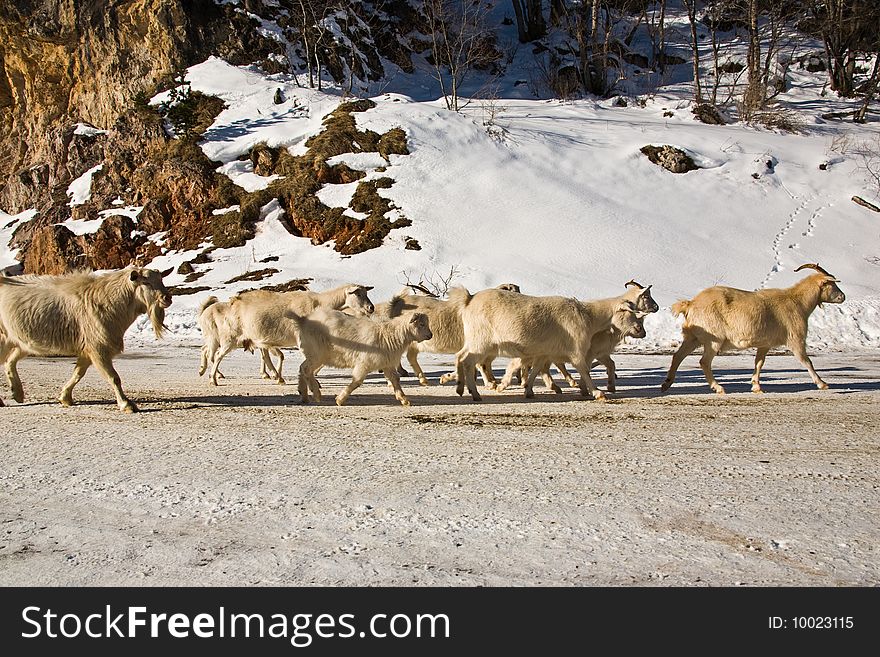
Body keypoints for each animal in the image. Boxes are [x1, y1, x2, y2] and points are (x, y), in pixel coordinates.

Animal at [0, 266, 174, 410]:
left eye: (161, 280)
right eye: (146, 282)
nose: (167, 298)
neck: (109, 302)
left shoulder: (88, 350)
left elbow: (78, 373)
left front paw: (65, 398)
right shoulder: (98, 349)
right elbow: (114, 377)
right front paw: (126, 405)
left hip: (21, 342)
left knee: (10, 361)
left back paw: (18, 394)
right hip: (4, 338)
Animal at [296, 308, 434, 404]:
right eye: (421, 324)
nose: (430, 335)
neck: (390, 334)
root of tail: (303, 320)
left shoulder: (387, 364)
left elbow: (395, 380)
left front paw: (404, 399)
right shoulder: (364, 363)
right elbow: (357, 381)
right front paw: (340, 399)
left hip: (316, 355)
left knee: (302, 368)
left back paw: (304, 395)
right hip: (317, 353)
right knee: (306, 369)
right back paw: (316, 393)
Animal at [660, 262, 844, 394]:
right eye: (832, 284)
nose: (843, 296)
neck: (796, 301)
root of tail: (691, 304)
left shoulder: (764, 344)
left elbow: (759, 363)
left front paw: (756, 386)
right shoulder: (795, 339)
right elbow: (806, 361)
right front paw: (822, 384)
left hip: (693, 338)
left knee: (678, 356)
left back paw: (666, 384)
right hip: (713, 340)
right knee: (704, 362)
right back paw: (718, 388)